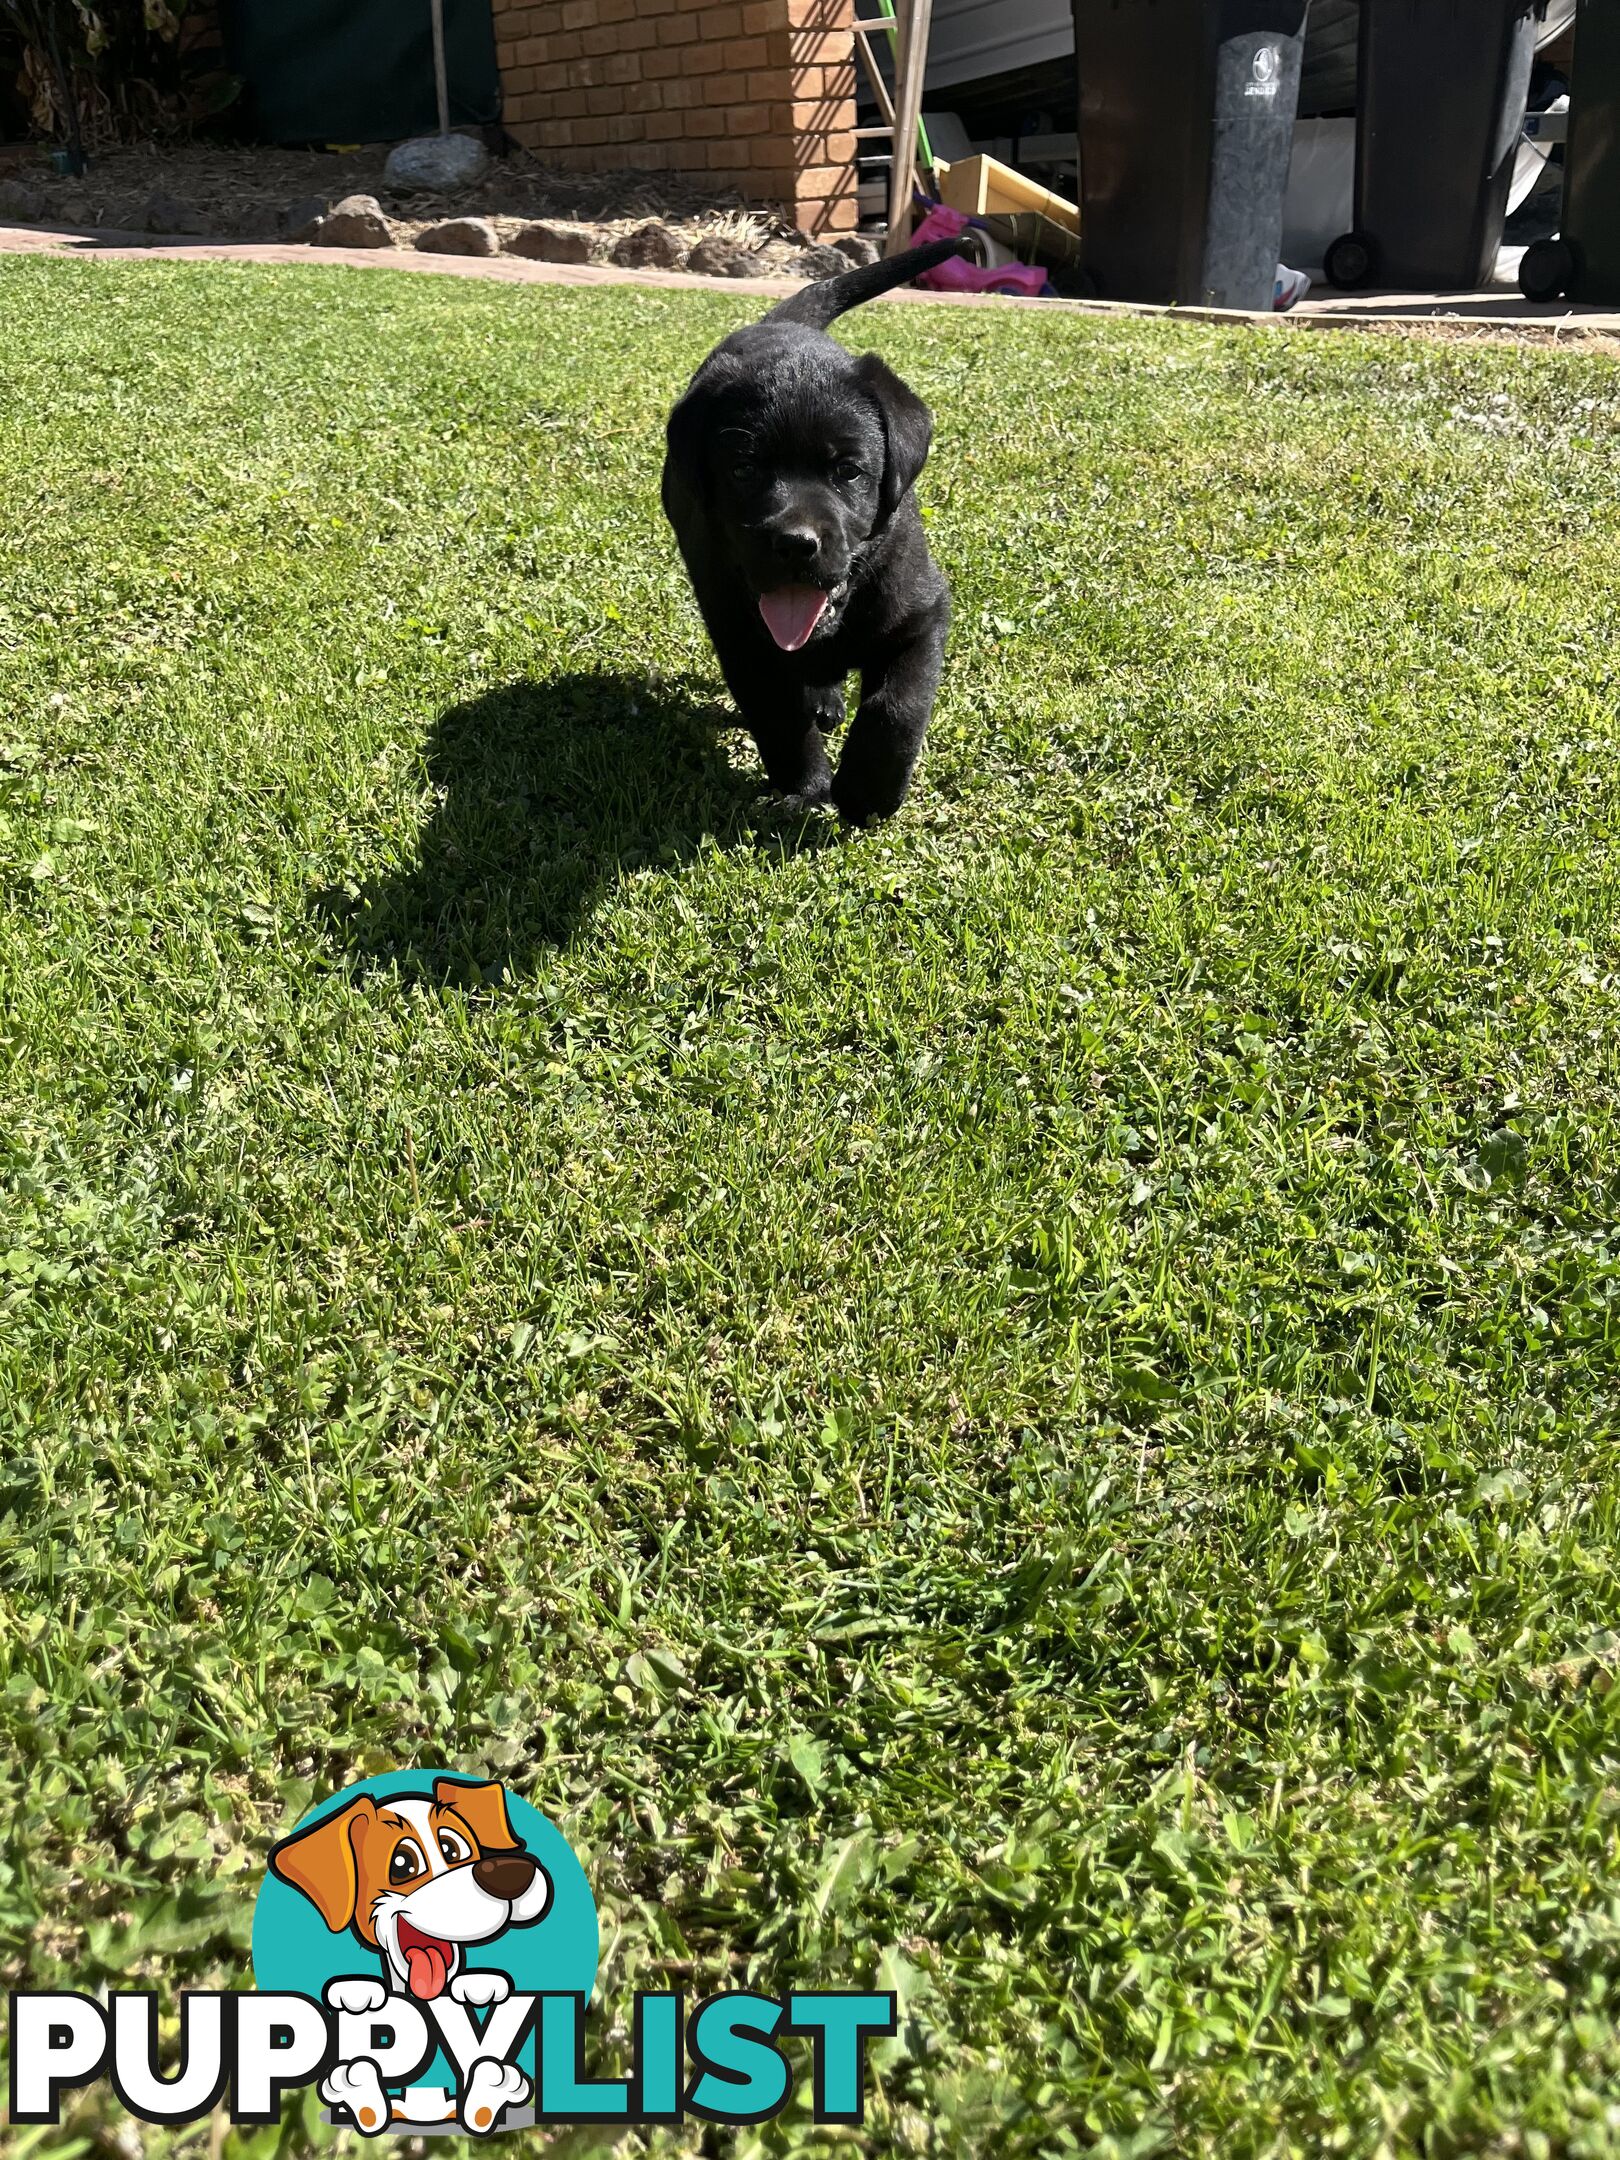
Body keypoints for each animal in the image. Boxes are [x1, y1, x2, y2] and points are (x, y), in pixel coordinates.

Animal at [665, 238, 972, 825]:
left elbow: (897, 707)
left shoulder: (922, 614)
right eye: (744, 470)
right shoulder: (742, 639)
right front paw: (807, 789)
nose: (794, 544)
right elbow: (780, 719)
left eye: (847, 471)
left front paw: (868, 792)